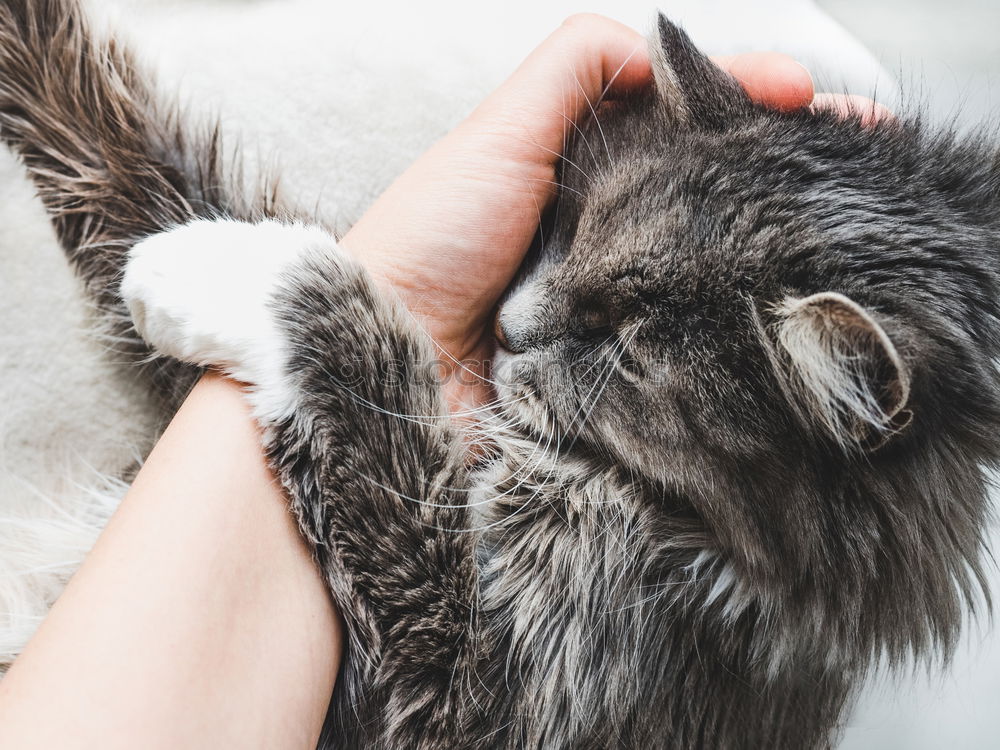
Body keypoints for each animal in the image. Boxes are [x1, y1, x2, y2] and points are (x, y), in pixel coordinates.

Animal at [1, 1, 1000, 750]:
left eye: (629, 355)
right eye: (578, 226)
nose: (509, 330)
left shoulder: (462, 707)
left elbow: (351, 322)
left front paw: (211, 271)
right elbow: (130, 160)